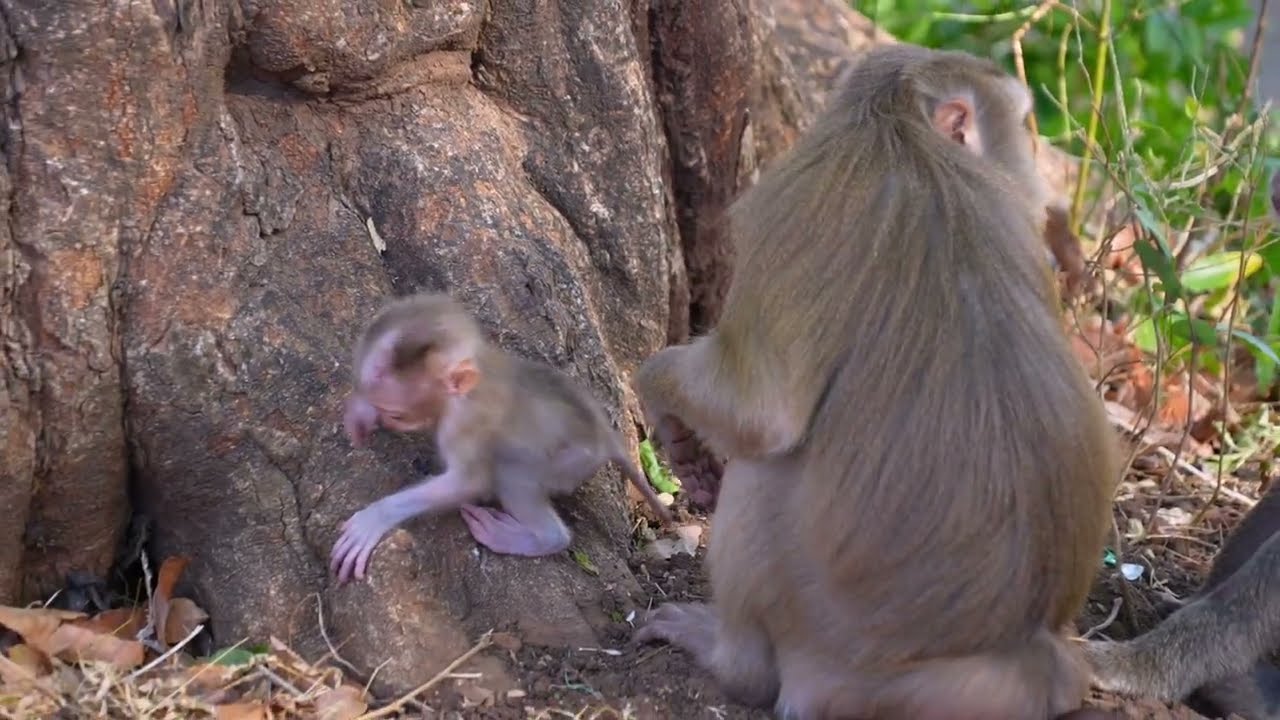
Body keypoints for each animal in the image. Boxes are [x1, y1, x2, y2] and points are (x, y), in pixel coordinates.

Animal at [330, 292, 673, 584]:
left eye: (398, 415)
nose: (386, 419)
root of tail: (605, 434)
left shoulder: (463, 425)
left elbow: (469, 482)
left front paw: (376, 517)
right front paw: (361, 411)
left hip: (572, 461)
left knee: (513, 474)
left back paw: (538, 538)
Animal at [630, 44, 1119, 719]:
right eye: (1021, 125)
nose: (1041, 183)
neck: (899, 125)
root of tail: (1025, 655)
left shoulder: (799, 190)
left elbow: (764, 411)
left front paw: (660, 393)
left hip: (824, 644)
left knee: (768, 467)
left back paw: (731, 660)